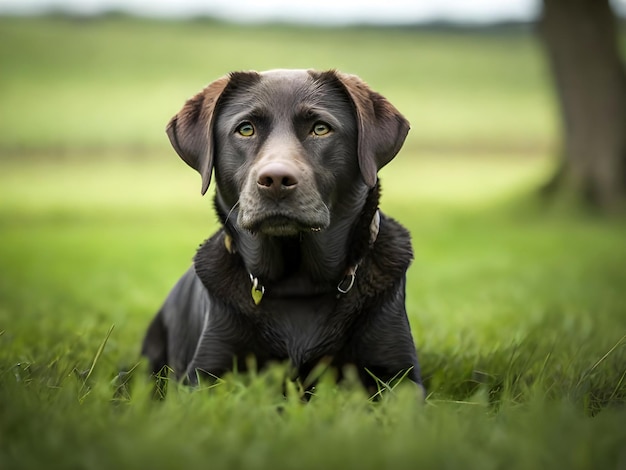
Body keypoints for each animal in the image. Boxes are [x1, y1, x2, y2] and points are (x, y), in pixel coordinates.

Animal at [143, 68, 422, 394]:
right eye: (246, 129)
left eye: (321, 129)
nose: (276, 179)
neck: (297, 284)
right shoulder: (204, 374)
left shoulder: (400, 374)